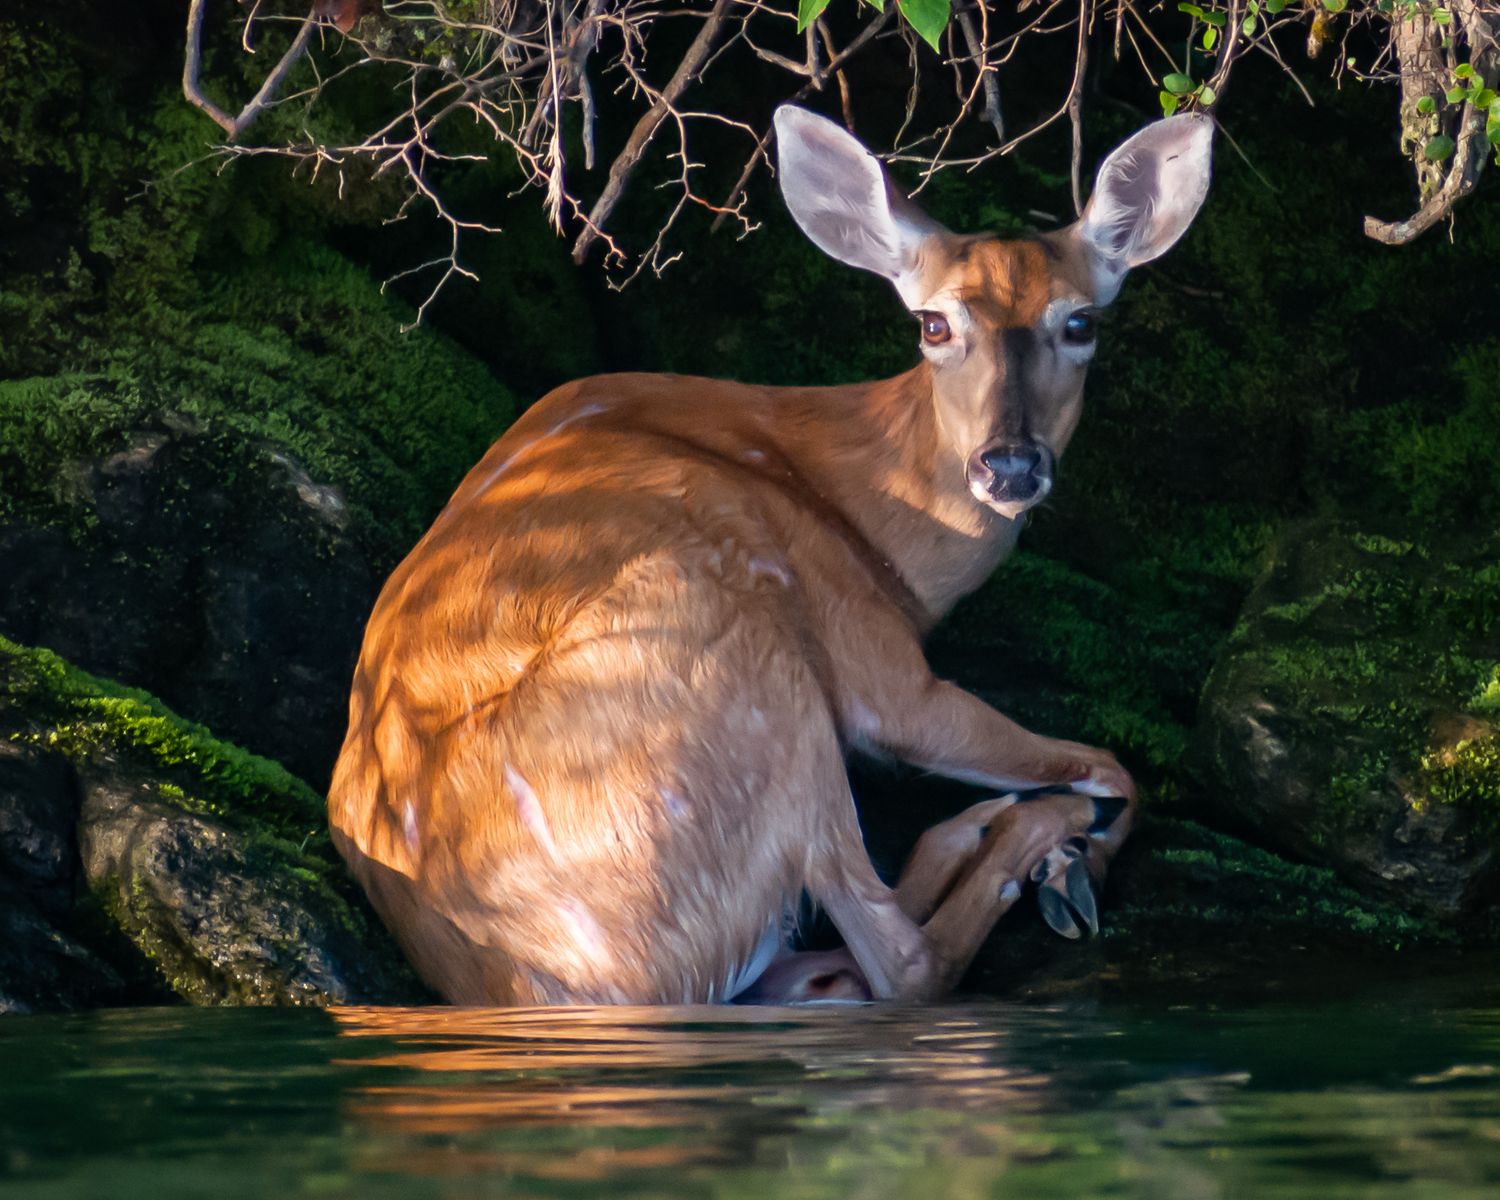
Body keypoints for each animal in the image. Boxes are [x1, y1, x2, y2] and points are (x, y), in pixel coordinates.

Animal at [327, 106, 1214, 1006]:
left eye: (1081, 322)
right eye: (933, 324)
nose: (1008, 465)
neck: (880, 534)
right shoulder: (875, 663)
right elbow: (1114, 768)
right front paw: (1078, 865)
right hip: (741, 665)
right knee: (902, 961)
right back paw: (1028, 844)